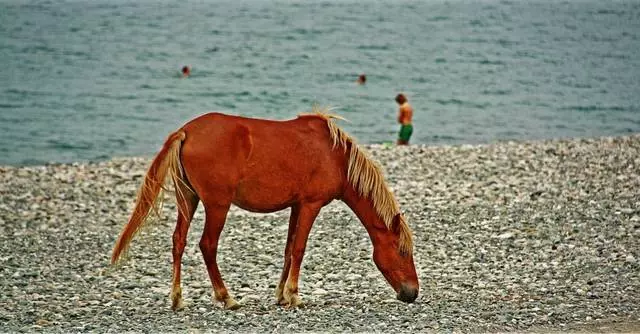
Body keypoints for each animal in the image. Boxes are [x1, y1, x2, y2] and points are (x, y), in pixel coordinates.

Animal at [111, 107, 420, 310]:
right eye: (403, 251)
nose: (412, 293)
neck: (336, 156)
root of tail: (187, 131)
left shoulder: (296, 205)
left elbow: (288, 249)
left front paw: (281, 295)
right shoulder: (311, 205)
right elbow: (299, 249)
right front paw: (294, 295)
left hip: (187, 199)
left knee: (178, 241)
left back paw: (177, 299)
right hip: (217, 205)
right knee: (207, 245)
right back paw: (226, 297)